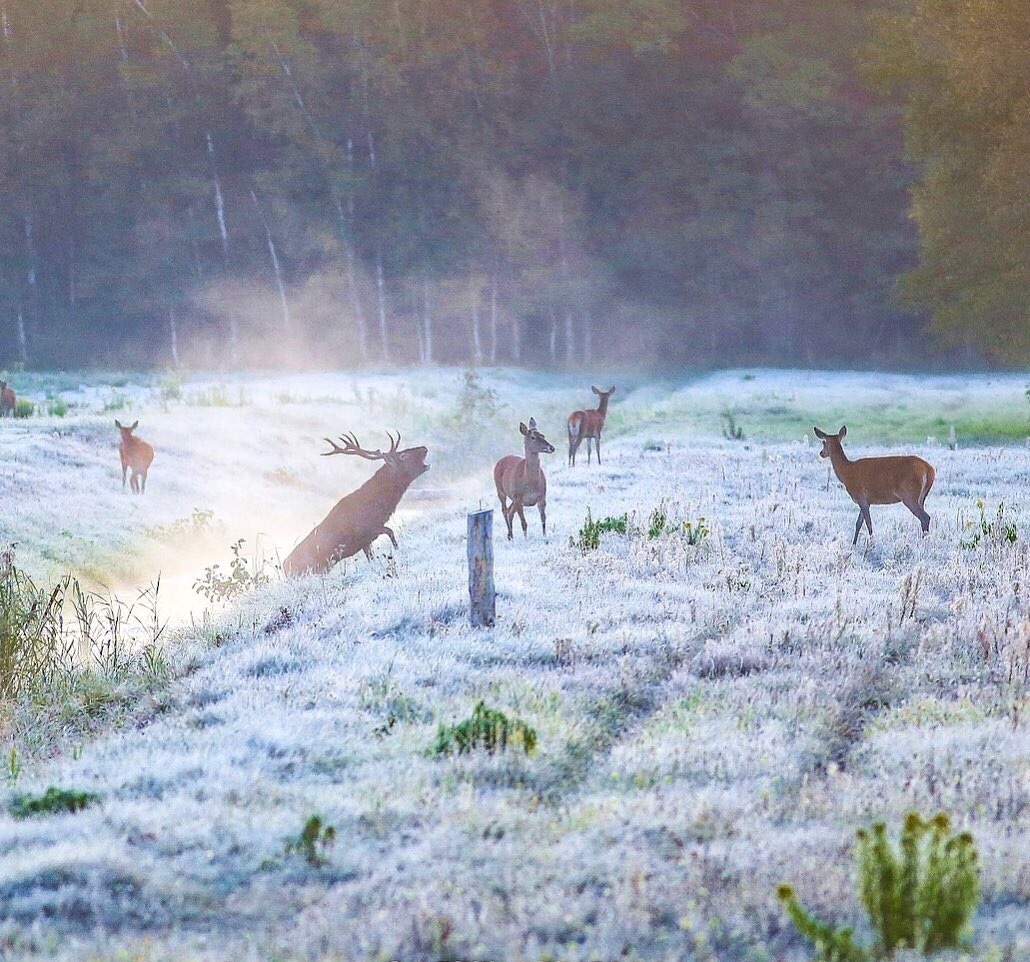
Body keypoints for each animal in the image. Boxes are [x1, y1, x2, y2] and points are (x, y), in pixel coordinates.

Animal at [282, 432, 426, 576]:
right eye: (403, 456)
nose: (424, 448)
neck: (379, 508)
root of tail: (284, 568)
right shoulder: (367, 530)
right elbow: (390, 532)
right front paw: (397, 549)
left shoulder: (366, 541)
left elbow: (372, 557)